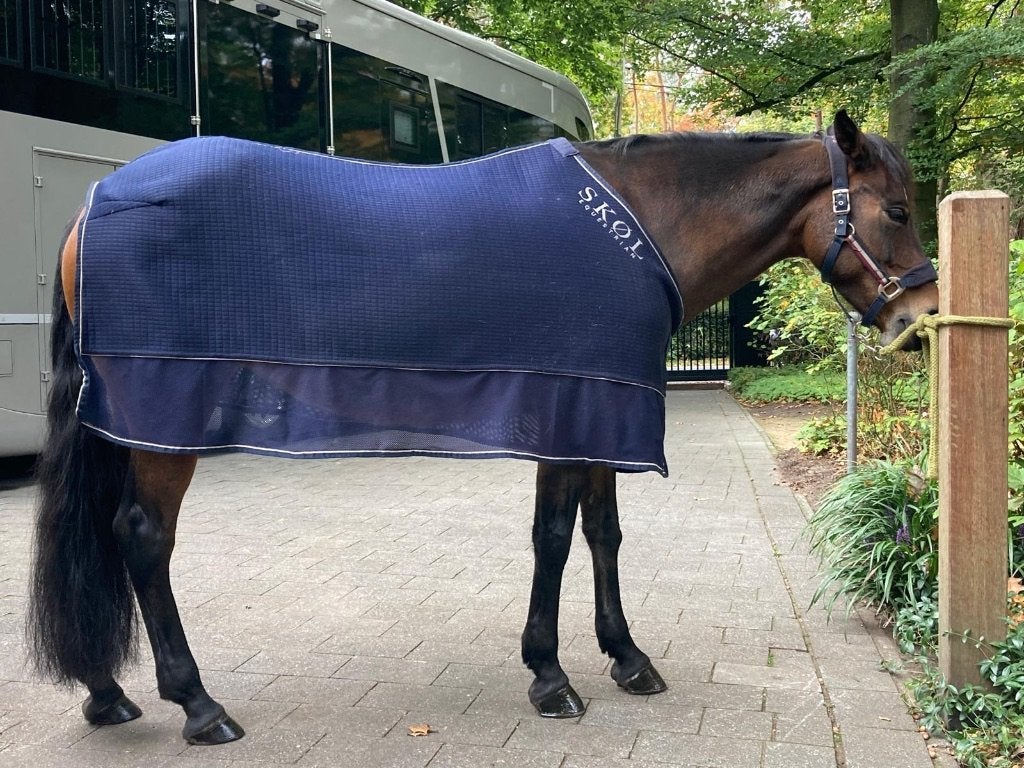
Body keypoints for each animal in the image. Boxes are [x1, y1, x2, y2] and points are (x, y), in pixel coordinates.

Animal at [28, 110, 938, 746]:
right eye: (896, 210)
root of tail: (96, 202)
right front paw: (551, 676)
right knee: (144, 538)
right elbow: (554, 538)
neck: (643, 227)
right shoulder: (571, 408)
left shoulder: (602, 409)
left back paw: (108, 693)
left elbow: (603, 534)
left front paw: (627, 657)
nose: (924, 320)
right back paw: (198, 704)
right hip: (161, 419)